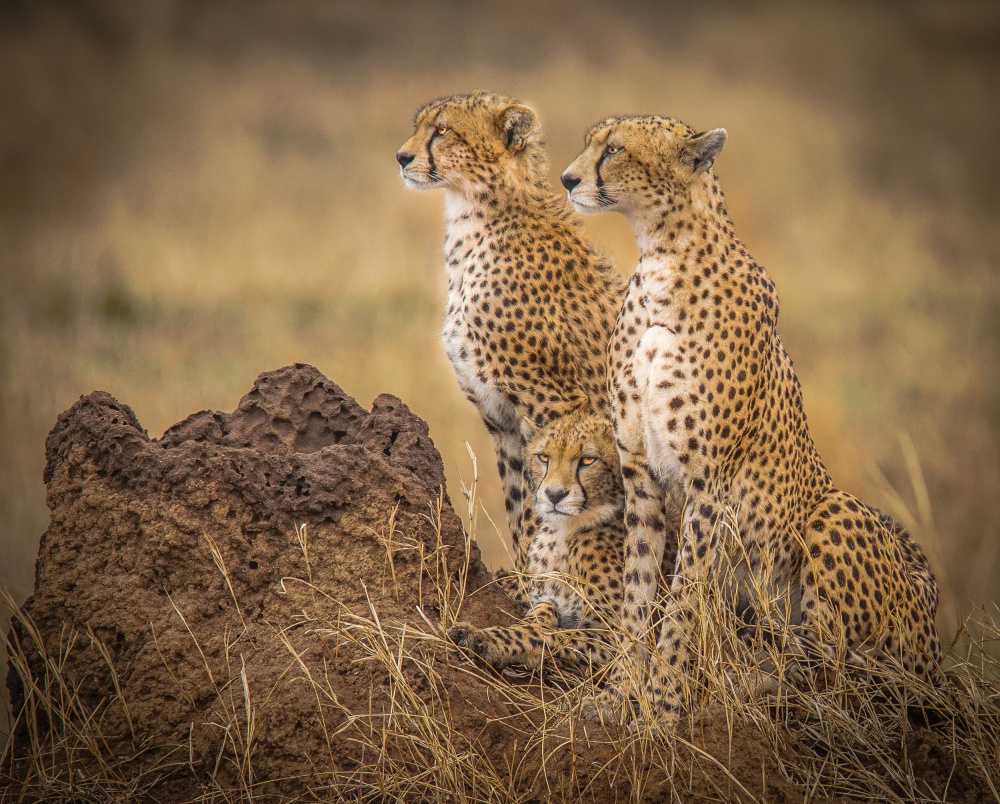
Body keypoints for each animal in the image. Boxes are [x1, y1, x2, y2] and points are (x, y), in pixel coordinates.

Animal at [396, 92, 624, 572]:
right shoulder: (500, 421)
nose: (402, 156)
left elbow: (544, 494)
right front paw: (521, 569)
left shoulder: (552, 402)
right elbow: (520, 501)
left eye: (443, 130)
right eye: (421, 126)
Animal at [448, 408, 632, 672]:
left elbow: (548, 635)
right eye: (544, 457)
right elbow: (543, 611)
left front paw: (483, 638)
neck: (564, 530)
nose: (554, 494)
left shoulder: (619, 639)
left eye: (588, 460)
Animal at [560, 116, 940, 720]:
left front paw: (663, 701)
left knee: (839, 673)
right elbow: (639, 590)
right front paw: (621, 693)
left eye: (614, 149)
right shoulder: (641, 476)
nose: (568, 179)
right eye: (590, 142)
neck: (662, 256)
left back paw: (755, 684)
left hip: (830, 512)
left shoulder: (708, 484)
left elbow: (684, 597)